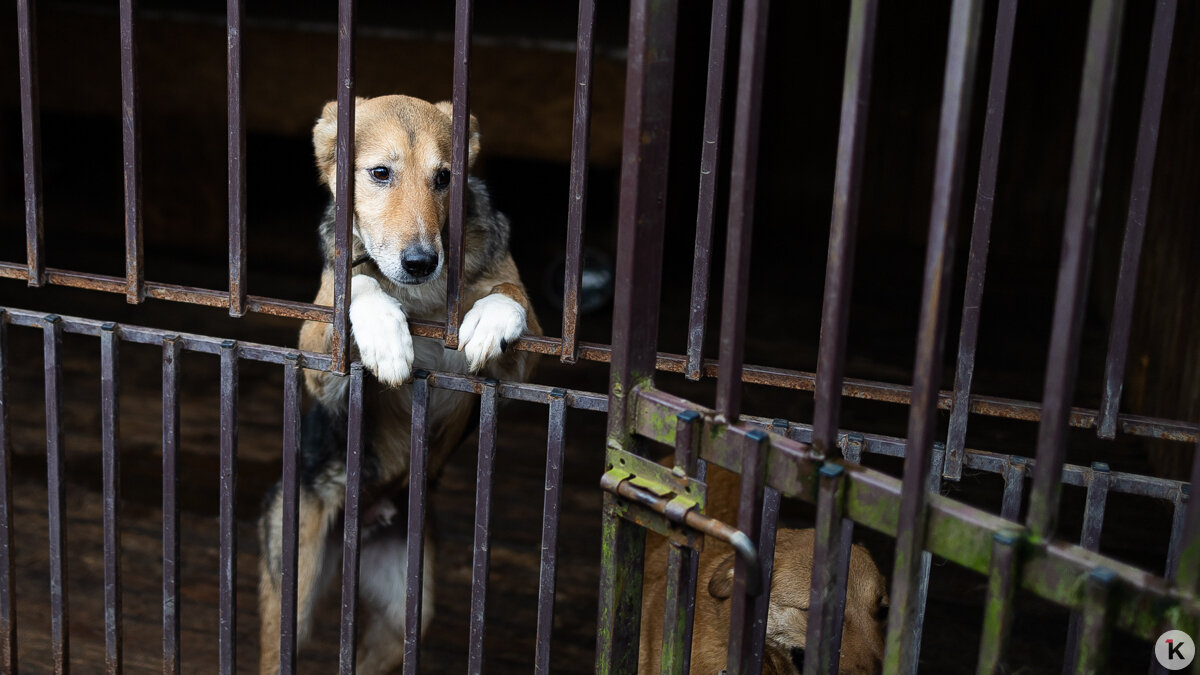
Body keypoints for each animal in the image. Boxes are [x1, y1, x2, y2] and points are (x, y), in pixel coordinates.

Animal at [257, 94, 541, 673]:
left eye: (444, 178)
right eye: (380, 174)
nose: (420, 262)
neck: (424, 297)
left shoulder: (534, 355)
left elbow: (508, 294)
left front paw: (490, 317)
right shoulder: (316, 352)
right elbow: (358, 283)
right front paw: (383, 330)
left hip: (403, 614)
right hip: (291, 600)